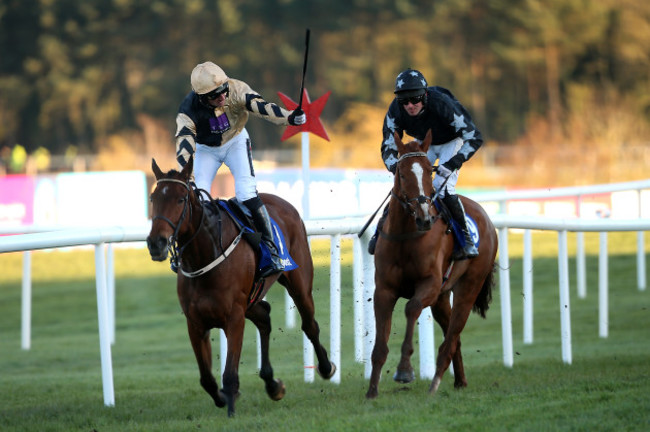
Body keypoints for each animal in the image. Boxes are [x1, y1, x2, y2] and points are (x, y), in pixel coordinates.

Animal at [144, 158, 332, 416]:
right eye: (153, 198)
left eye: (180, 199)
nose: (156, 243)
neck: (204, 257)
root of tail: (284, 203)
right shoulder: (196, 322)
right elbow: (206, 378)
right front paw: (223, 397)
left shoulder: (234, 318)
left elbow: (230, 374)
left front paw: (231, 410)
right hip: (251, 301)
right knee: (264, 317)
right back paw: (272, 384)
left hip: (299, 283)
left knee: (310, 325)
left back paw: (325, 367)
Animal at [364, 131, 496, 398]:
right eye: (402, 174)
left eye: (428, 172)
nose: (425, 218)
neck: (406, 235)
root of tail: (487, 217)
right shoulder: (384, 290)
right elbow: (380, 345)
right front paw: (372, 390)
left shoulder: (430, 285)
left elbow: (411, 308)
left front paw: (404, 370)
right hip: (442, 298)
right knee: (453, 338)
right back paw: (459, 381)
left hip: (468, 287)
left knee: (451, 337)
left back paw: (434, 384)